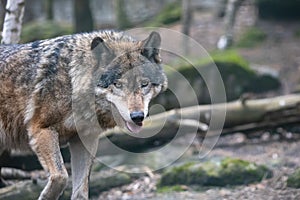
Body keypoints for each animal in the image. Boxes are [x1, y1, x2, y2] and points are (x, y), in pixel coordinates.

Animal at [0, 30, 168, 199]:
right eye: (118, 84)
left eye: (144, 84)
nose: (137, 116)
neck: (71, 81)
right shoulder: (41, 130)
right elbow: (61, 176)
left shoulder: (84, 139)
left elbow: (80, 191)